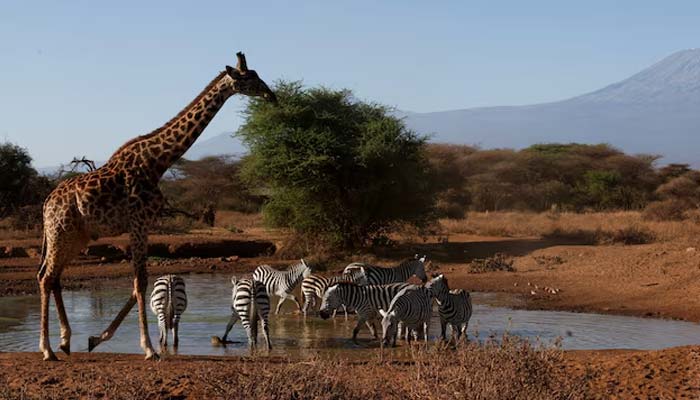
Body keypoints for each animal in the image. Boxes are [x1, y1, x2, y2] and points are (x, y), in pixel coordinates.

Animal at [37, 52, 277, 361]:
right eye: (250, 78)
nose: (271, 95)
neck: (157, 162)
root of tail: (47, 202)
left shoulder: (145, 225)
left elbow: (137, 285)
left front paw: (97, 338)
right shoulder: (138, 223)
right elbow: (140, 282)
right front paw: (149, 348)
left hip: (76, 236)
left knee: (53, 277)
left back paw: (65, 342)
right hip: (60, 231)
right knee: (46, 277)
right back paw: (47, 349)